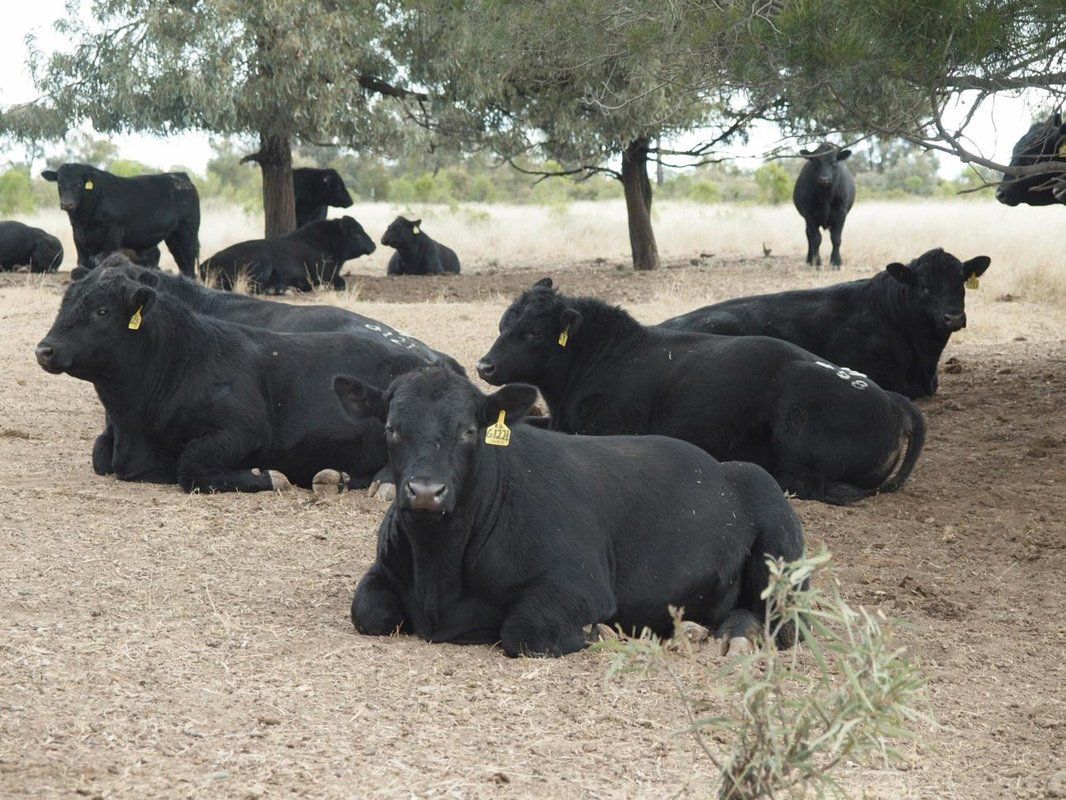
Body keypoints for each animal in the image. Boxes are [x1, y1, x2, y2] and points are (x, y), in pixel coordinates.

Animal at [34, 264, 434, 493]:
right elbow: (101, 456)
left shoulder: (244, 428)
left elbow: (191, 467)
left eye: (101, 311)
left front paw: (269, 476)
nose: (44, 349)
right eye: (64, 305)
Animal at [41, 163, 200, 277]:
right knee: (182, 263)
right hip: (173, 237)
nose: (67, 204)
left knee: (190, 264)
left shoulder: (112, 236)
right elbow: (81, 265)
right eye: (59, 183)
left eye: (79, 183)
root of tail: (181, 177)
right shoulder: (79, 238)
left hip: (188, 231)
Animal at [199, 216, 376, 293]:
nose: (373, 245)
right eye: (356, 231)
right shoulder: (326, 276)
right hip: (263, 265)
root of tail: (206, 262)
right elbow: (340, 282)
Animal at [337, 366, 806, 657]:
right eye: (392, 429)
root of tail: (723, 467)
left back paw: (733, 636)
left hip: (778, 534)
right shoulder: (384, 569)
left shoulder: (580, 583)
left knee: (782, 620)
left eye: (469, 431)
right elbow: (369, 610)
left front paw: (598, 631)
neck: (440, 567)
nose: (425, 492)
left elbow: (524, 630)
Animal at [477, 279, 926, 506]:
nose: (484, 366)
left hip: (798, 425)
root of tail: (891, 401)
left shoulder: (601, 429)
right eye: (502, 324)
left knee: (812, 485)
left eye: (532, 332)